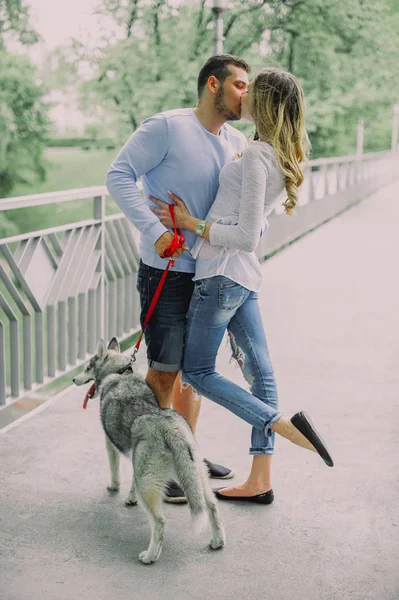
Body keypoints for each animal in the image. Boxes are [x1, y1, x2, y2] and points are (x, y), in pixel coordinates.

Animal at [73, 340, 227, 564]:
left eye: (87, 367)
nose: (73, 379)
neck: (121, 373)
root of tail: (171, 429)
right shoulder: (135, 461)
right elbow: (131, 482)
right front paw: (130, 497)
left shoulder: (110, 443)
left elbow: (114, 470)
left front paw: (113, 486)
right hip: (195, 476)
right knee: (212, 506)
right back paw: (217, 541)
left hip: (148, 484)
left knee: (160, 521)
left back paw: (150, 556)